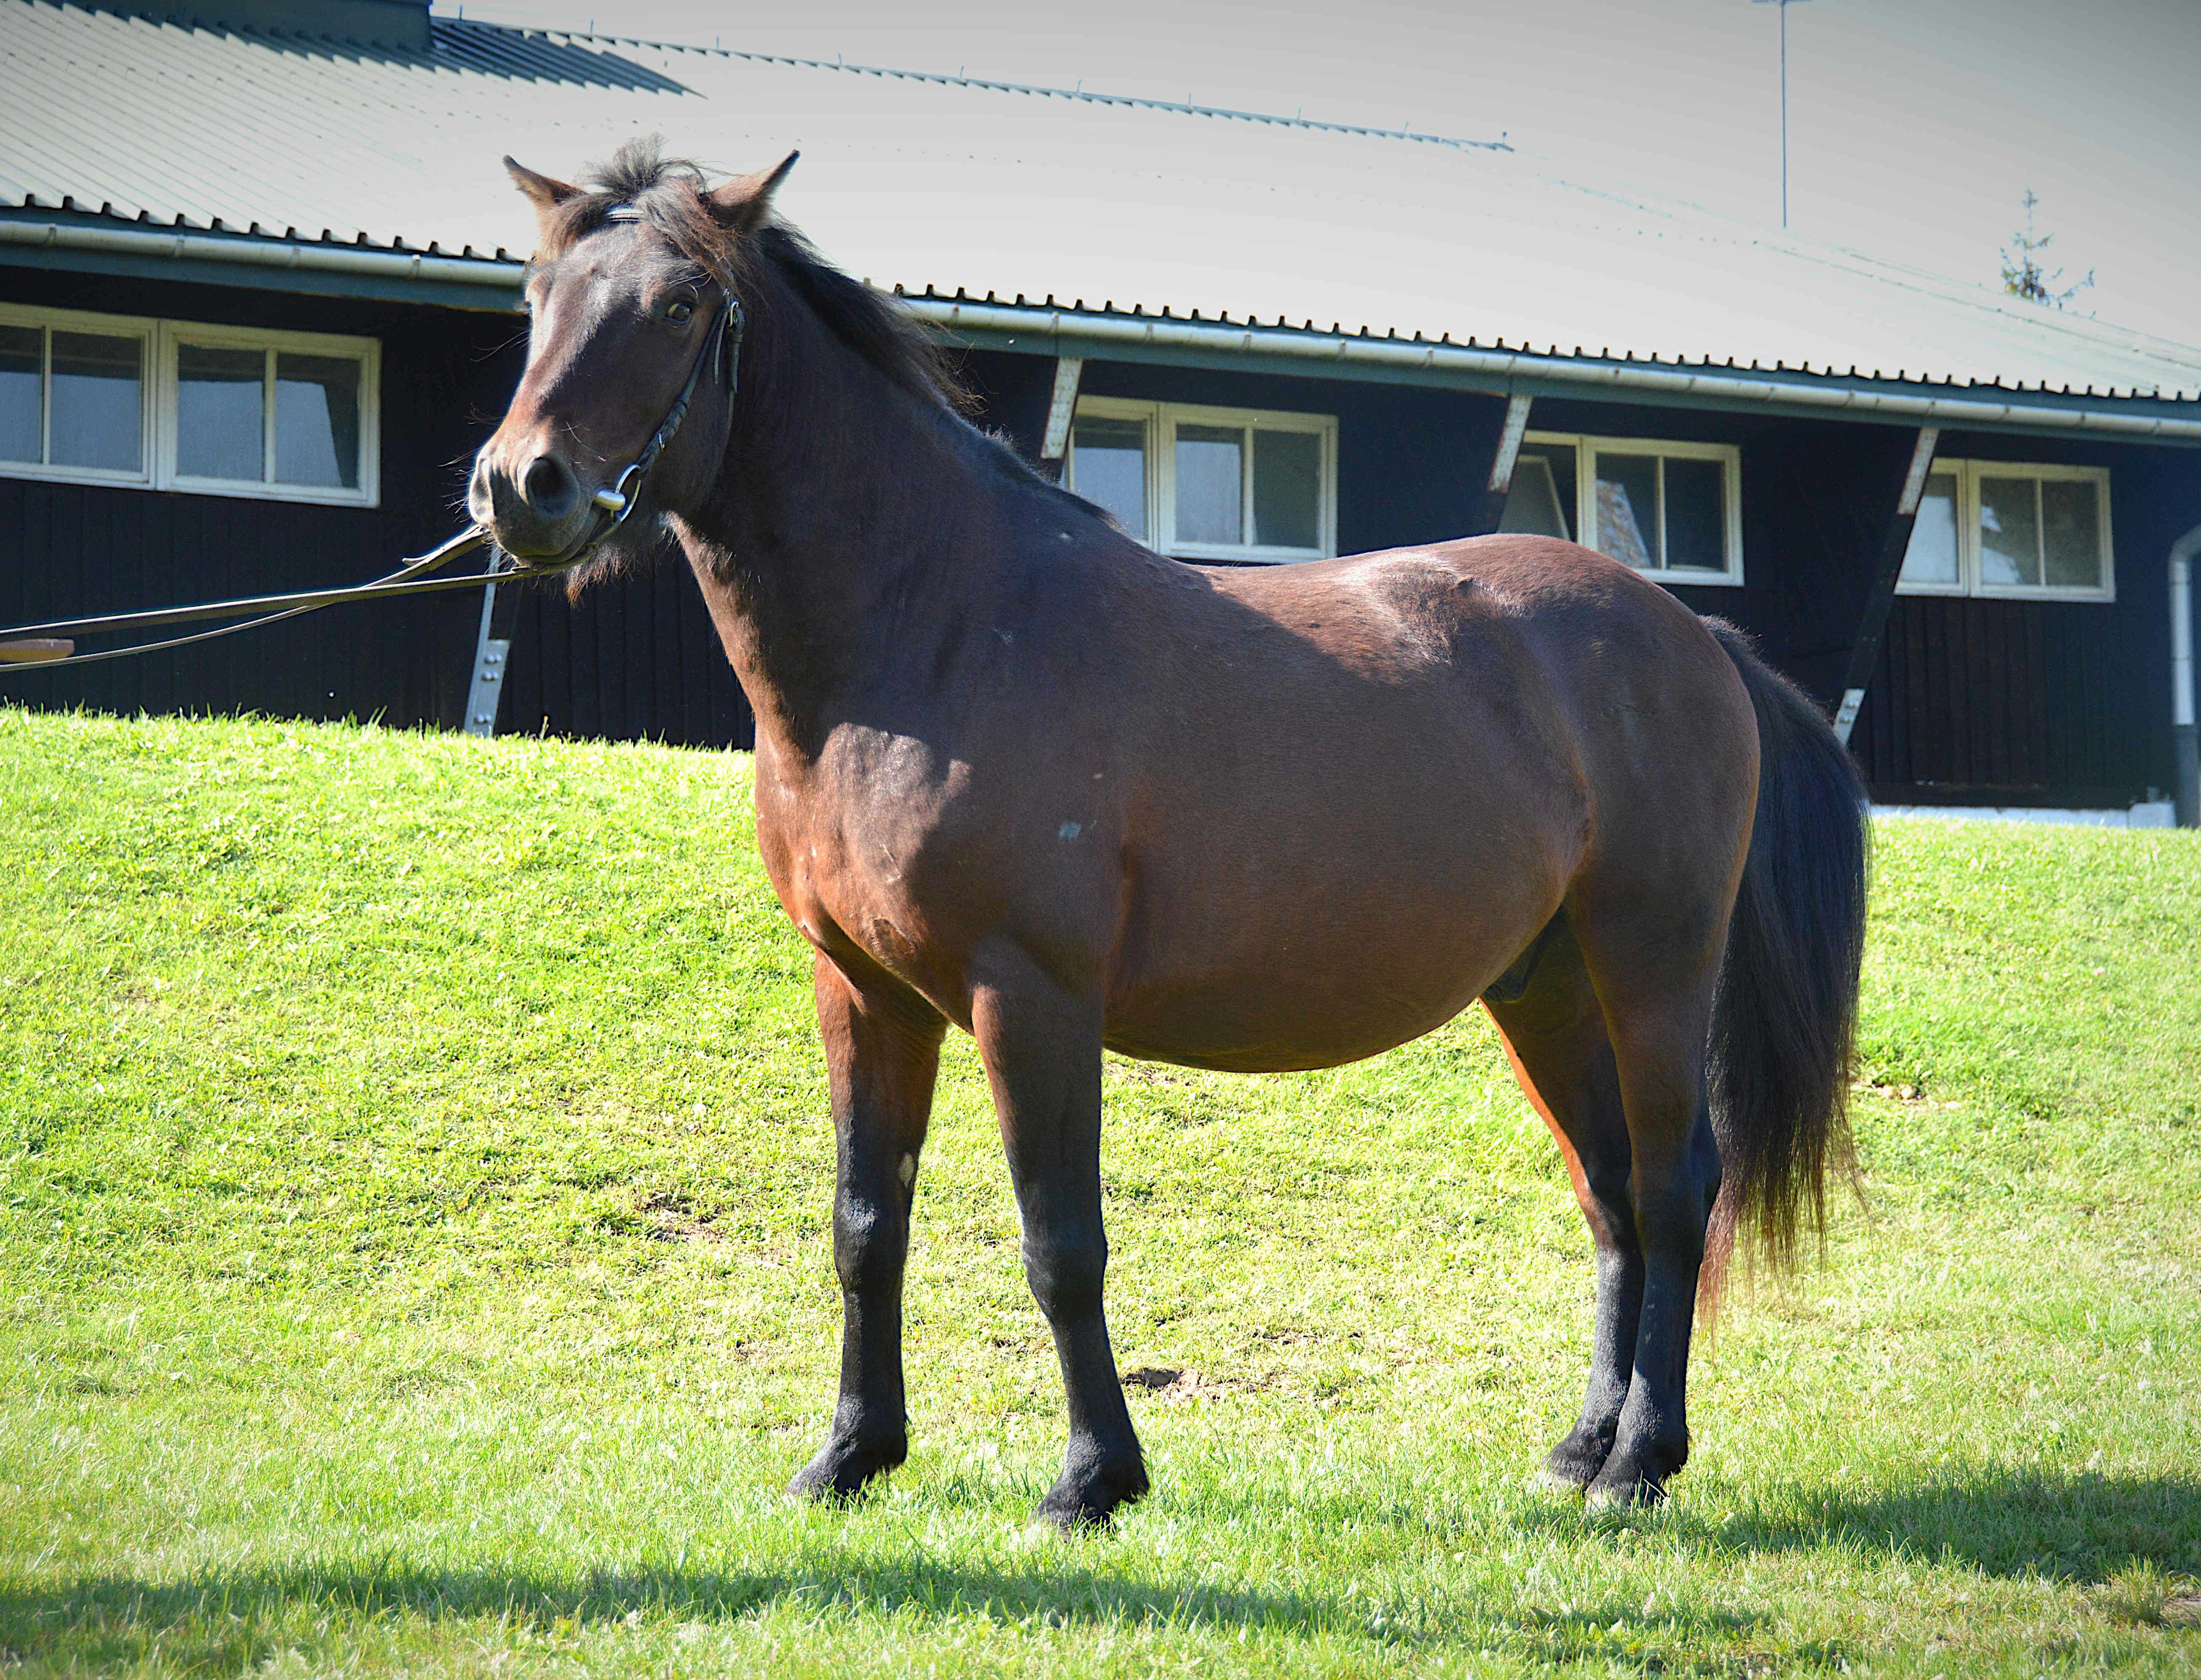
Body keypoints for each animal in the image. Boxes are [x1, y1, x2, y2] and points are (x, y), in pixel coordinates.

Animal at [473, 147, 1866, 1541]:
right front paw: (853, 1456)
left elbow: (1060, 1244)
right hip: (1546, 988)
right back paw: (1582, 1446)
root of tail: (1694, 637)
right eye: (534, 295)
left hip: (1652, 965)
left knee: (1677, 1185)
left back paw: (1641, 1459)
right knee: (1612, 1192)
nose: (520, 487)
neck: (938, 628)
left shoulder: (1029, 997)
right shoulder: (864, 992)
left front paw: (1092, 1478)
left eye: (678, 305)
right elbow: (867, 1226)